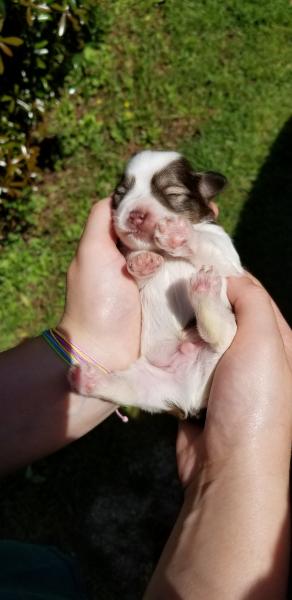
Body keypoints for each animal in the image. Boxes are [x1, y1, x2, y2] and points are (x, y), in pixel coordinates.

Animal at [69, 150, 243, 418]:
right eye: (121, 194)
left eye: (172, 193)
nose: (136, 214)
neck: (163, 252)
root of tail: (192, 394)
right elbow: (135, 268)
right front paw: (142, 262)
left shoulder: (228, 259)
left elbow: (206, 244)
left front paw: (178, 234)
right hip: (149, 385)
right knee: (124, 388)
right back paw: (86, 378)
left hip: (223, 348)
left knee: (223, 333)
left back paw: (205, 289)